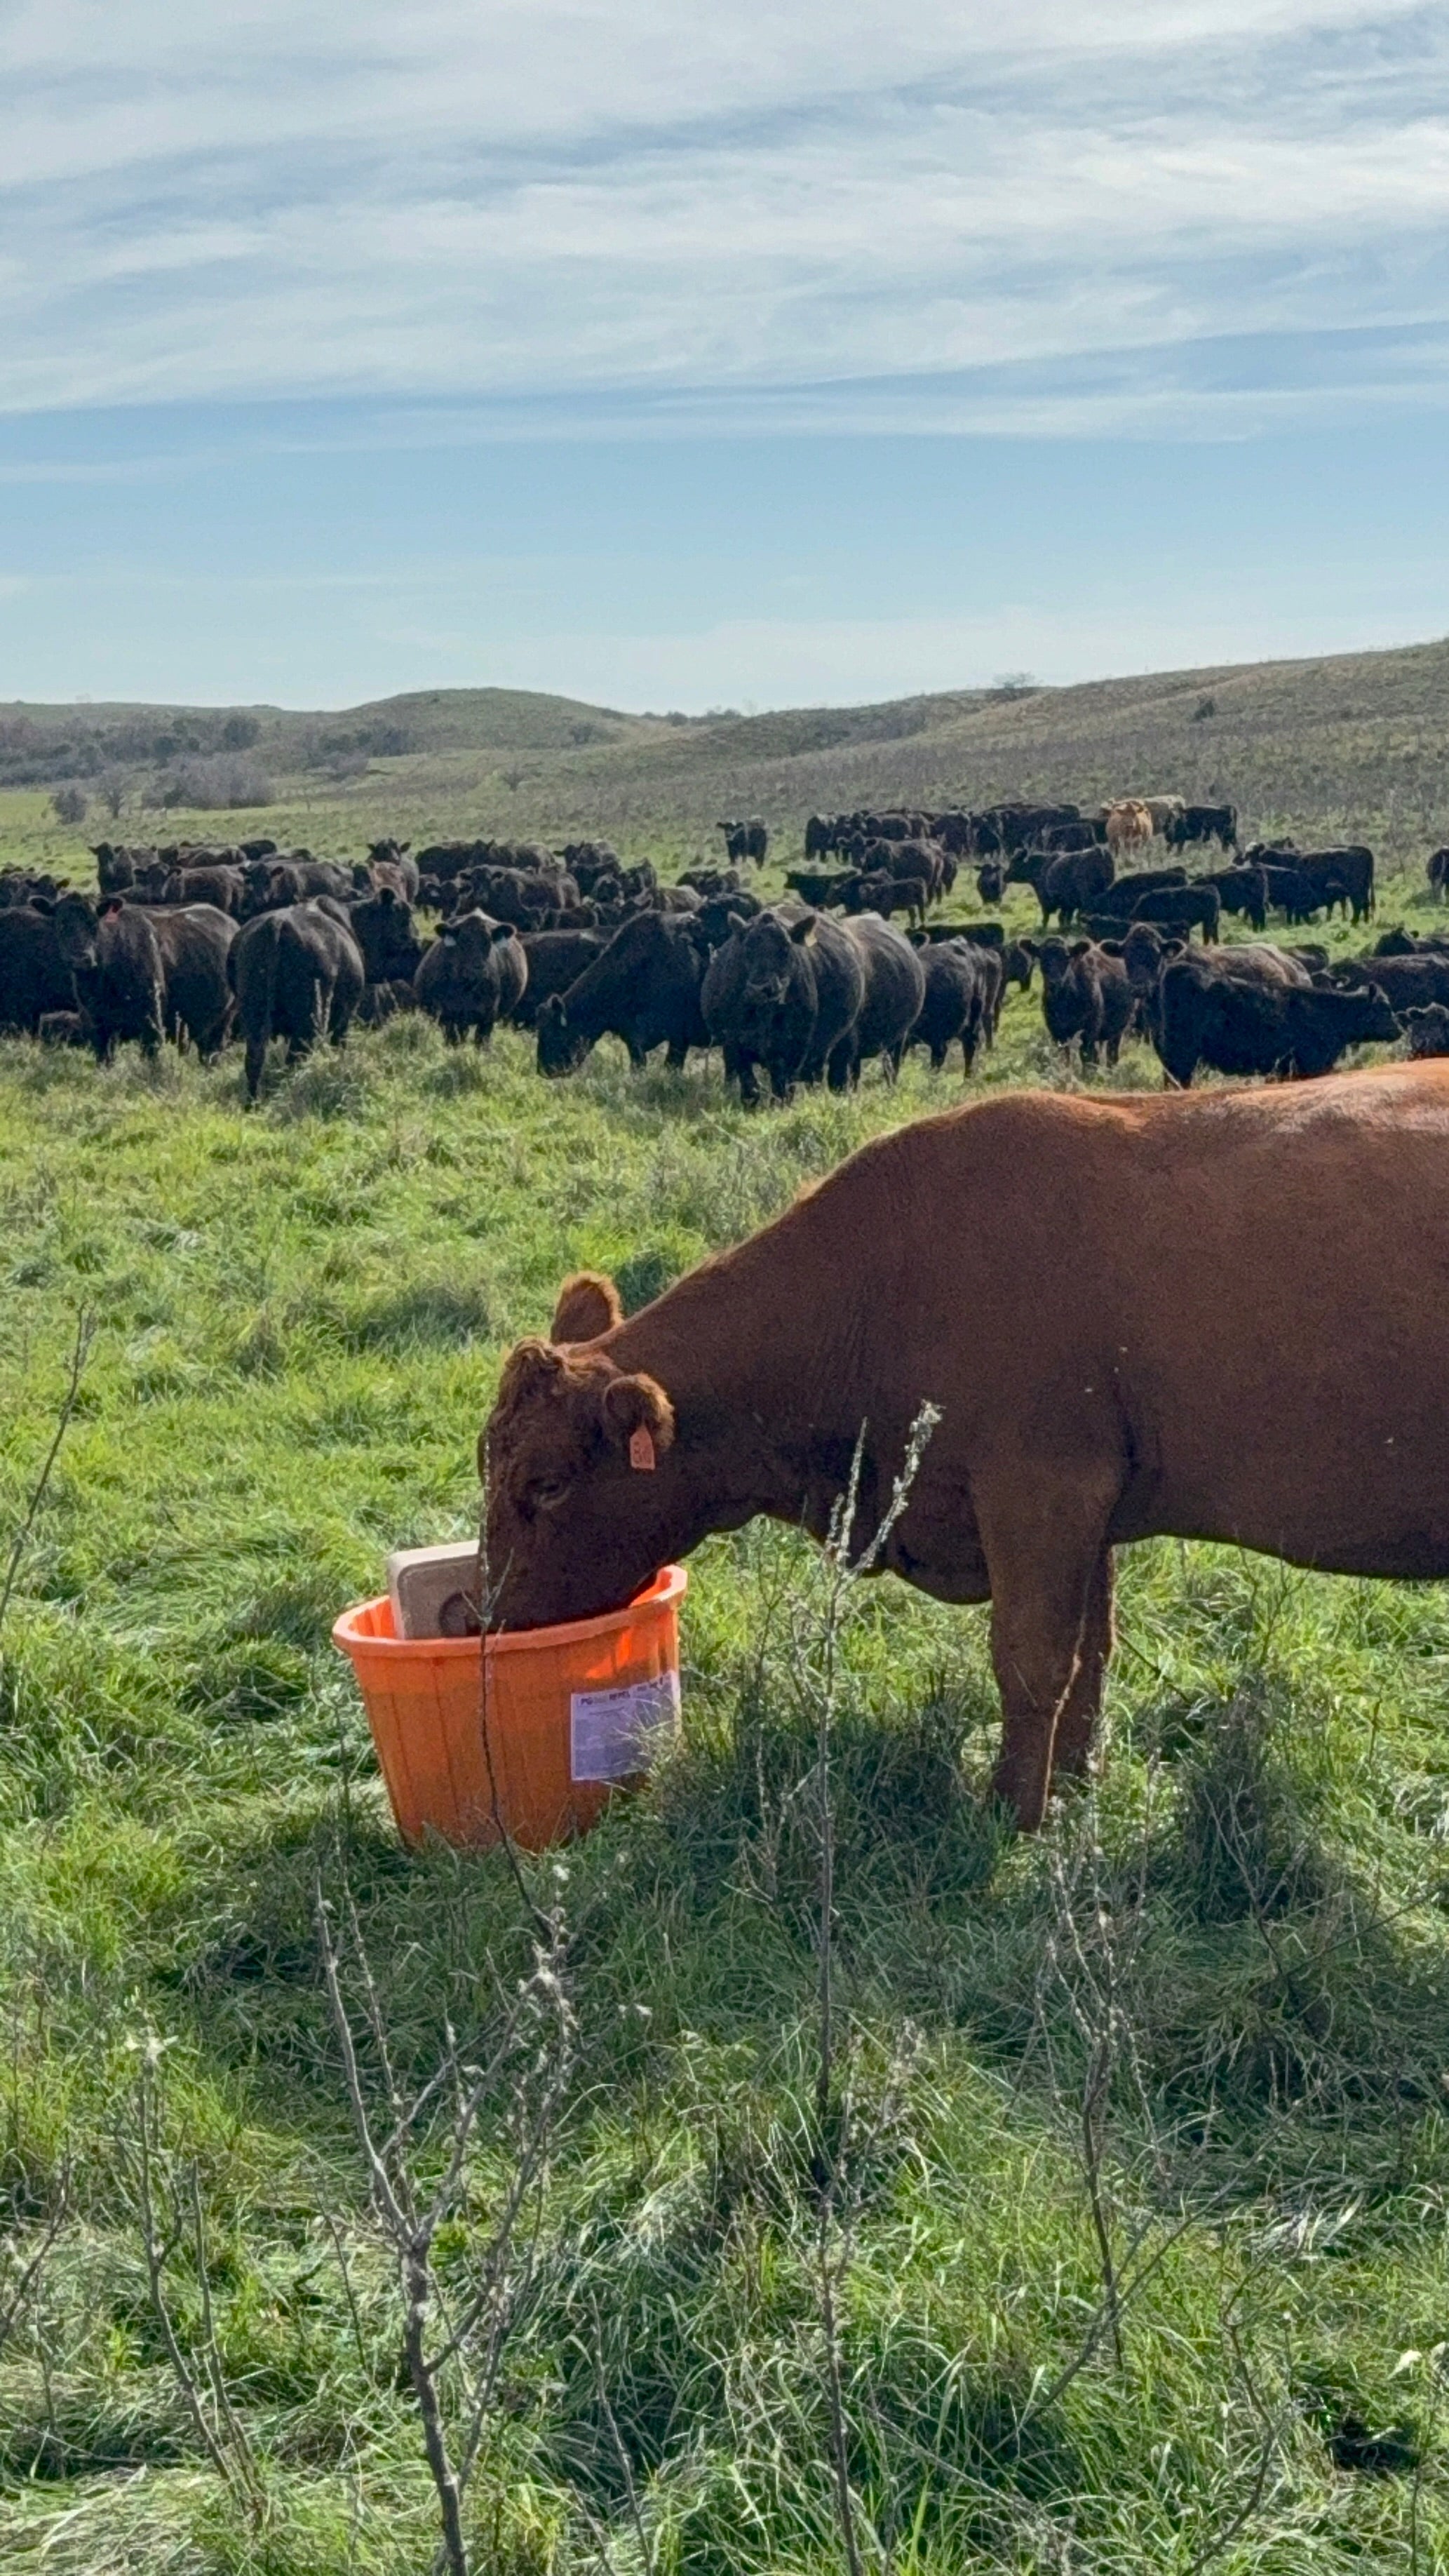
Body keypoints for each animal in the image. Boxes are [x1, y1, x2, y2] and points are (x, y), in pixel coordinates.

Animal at [481, 1063, 1449, 1831]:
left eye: (547, 1484)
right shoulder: (1089, 1504)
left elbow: (1029, 1658)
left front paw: (1009, 1815)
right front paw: (1072, 1785)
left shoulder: (1040, 1487)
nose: (484, 1622)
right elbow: (1089, 1652)